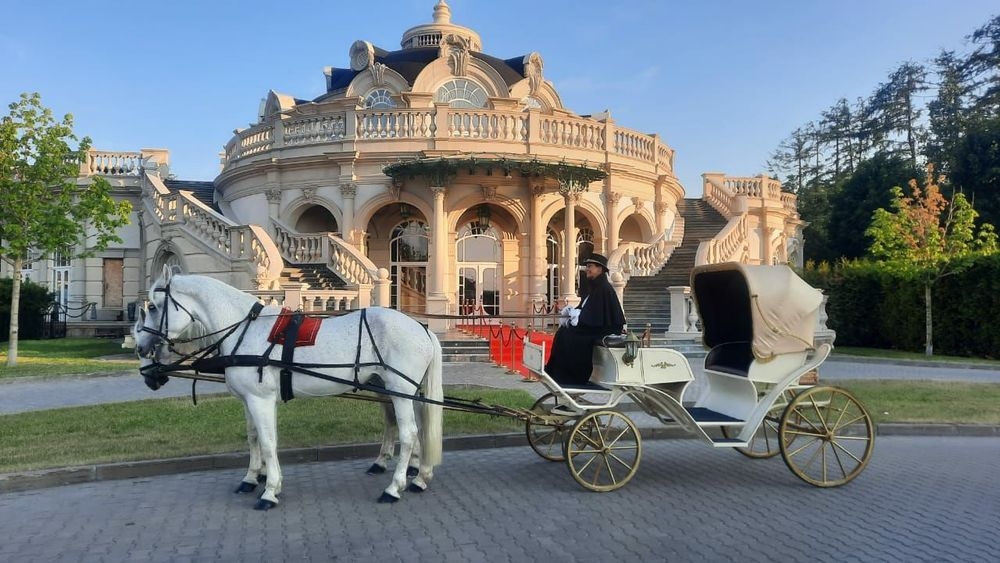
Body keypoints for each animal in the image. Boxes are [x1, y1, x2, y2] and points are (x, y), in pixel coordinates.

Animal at [133, 266, 442, 508]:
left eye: (153, 307)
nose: (141, 347)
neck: (246, 330)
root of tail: (422, 327)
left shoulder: (261, 400)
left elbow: (269, 442)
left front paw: (270, 489)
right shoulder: (248, 400)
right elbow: (254, 438)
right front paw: (251, 478)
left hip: (400, 391)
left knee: (409, 432)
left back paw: (395, 487)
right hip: (395, 390)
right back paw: (418, 475)